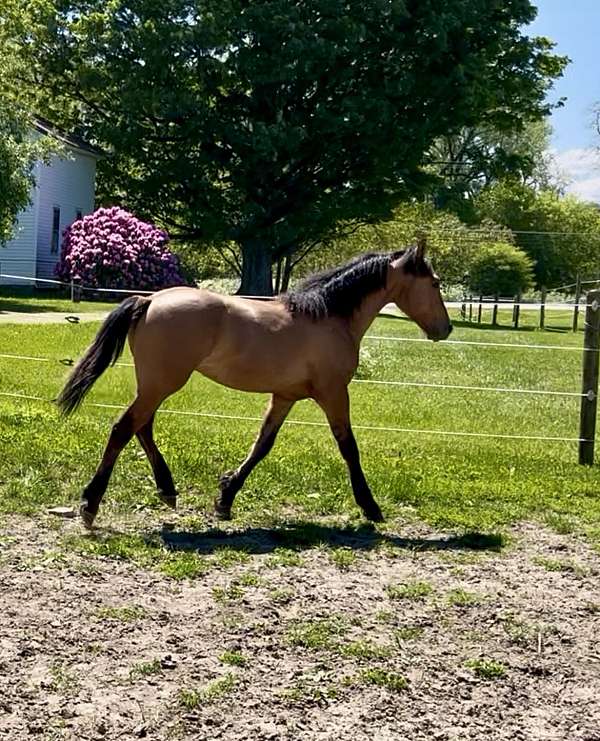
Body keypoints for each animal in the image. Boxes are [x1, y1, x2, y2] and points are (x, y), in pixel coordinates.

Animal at [57, 240, 452, 529]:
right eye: (434, 283)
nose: (445, 329)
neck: (328, 317)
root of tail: (150, 298)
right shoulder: (334, 394)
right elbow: (348, 448)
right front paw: (370, 507)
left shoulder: (285, 397)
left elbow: (262, 445)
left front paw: (225, 498)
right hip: (162, 383)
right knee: (124, 427)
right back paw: (90, 504)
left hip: (156, 384)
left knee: (143, 426)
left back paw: (167, 489)